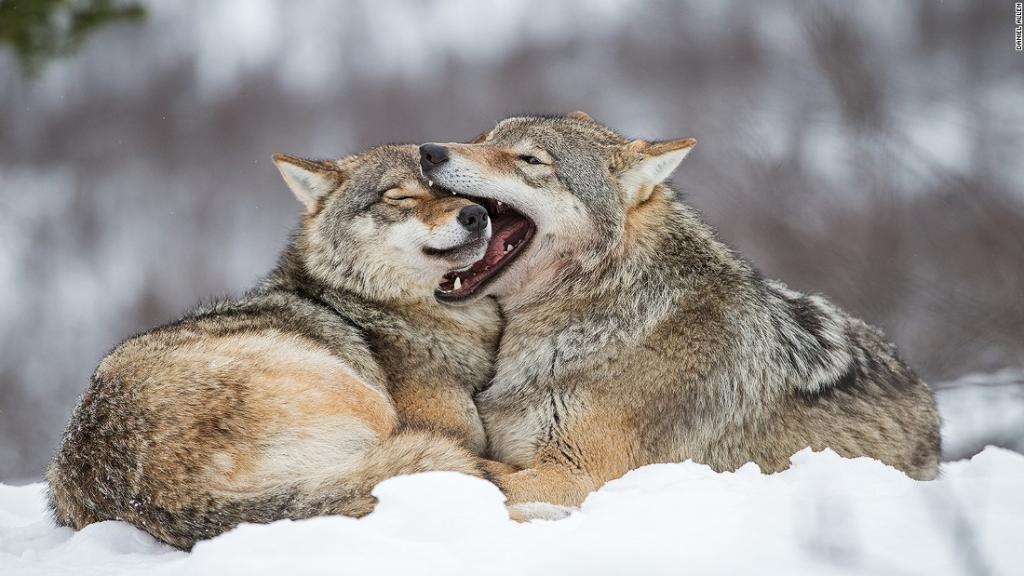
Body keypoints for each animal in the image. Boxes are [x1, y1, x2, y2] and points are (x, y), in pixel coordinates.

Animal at [47, 145, 514, 549]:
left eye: (458, 192)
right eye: (399, 196)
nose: (476, 214)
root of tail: (163, 496)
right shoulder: (452, 430)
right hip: (363, 398)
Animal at [419, 112, 941, 508]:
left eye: (530, 160)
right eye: (484, 139)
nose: (429, 151)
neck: (606, 304)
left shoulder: (573, 476)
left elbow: (473, 473)